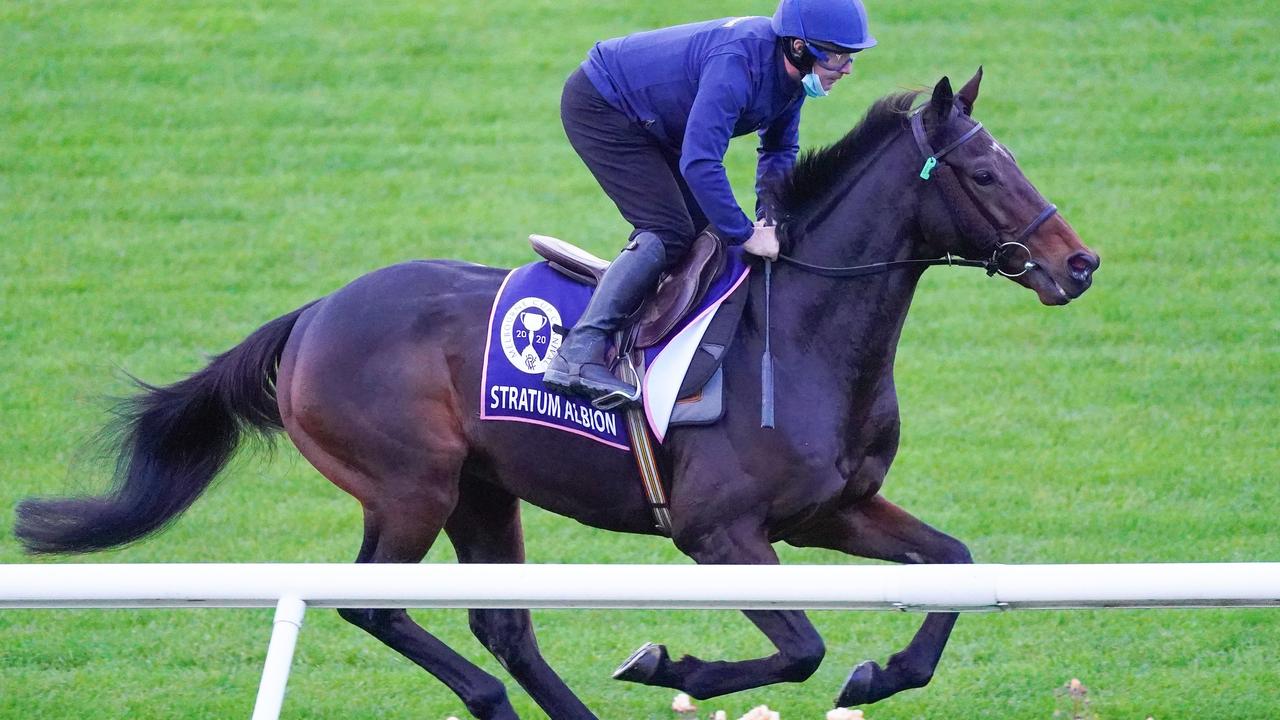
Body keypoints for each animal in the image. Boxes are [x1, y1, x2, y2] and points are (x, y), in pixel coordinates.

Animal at [15, 68, 1100, 717]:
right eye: (982, 172)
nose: (1078, 264)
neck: (799, 333)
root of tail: (315, 314)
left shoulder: (834, 509)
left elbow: (952, 567)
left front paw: (881, 672)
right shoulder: (719, 533)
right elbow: (797, 646)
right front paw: (672, 666)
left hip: (482, 491)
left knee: (501, 623)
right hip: (410, 486)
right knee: (376, 605)